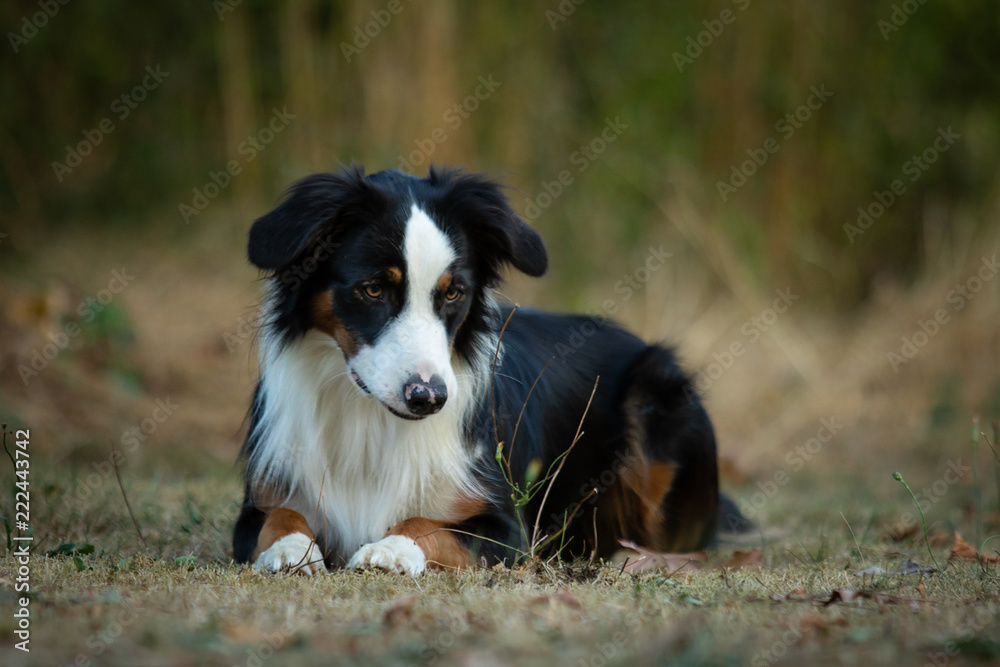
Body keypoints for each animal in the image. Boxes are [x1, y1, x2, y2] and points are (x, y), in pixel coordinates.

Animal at [232, 166, 736, 576]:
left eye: (454, 293)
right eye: (373, 289)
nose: (429, 398)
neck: (370, 419)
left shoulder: (508, 528)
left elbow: (425, 523)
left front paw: (389, 550)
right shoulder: (260, 500)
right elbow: (279, 518)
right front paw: (289, 549)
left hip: (657, 390)